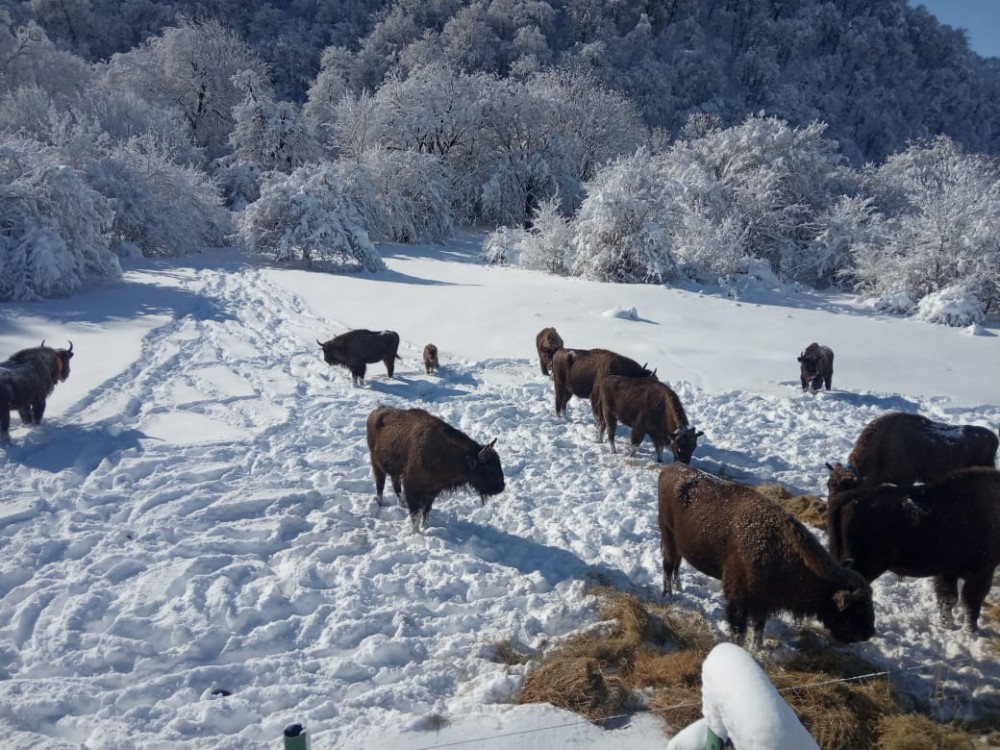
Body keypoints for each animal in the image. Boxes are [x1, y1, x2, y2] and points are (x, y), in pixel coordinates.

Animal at [364, 408, 504, 532]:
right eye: (489, 469)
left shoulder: (432, 491)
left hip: (394, 471)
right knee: (380, 485)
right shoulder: (412, 489)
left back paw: (401, 504)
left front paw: (425, 528)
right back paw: (380, 503)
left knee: (395, 486)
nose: (501, 487)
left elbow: (426, 513)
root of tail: (375, 412)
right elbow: (415, 515)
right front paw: (415, 532)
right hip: (377, 465)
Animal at [660, 462, 872, 648]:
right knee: (668, 565)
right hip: (667, 536)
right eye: (857, 606)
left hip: (678, 544)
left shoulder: (762, 602)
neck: (778, 547)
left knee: (676, 564)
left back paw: (678, 588)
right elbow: (739, 629)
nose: (868, 633)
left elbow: (758, 627)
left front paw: (757, 648)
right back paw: (668, 595)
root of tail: (671, 468)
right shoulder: (738, 597)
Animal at [824, 464, 1000, 636]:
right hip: (864, 567)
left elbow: (948, 599)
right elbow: (971, 601)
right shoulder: (982, 571)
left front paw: (947, 625)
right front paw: (971, 631)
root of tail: (848, 498)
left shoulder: (949, 571)